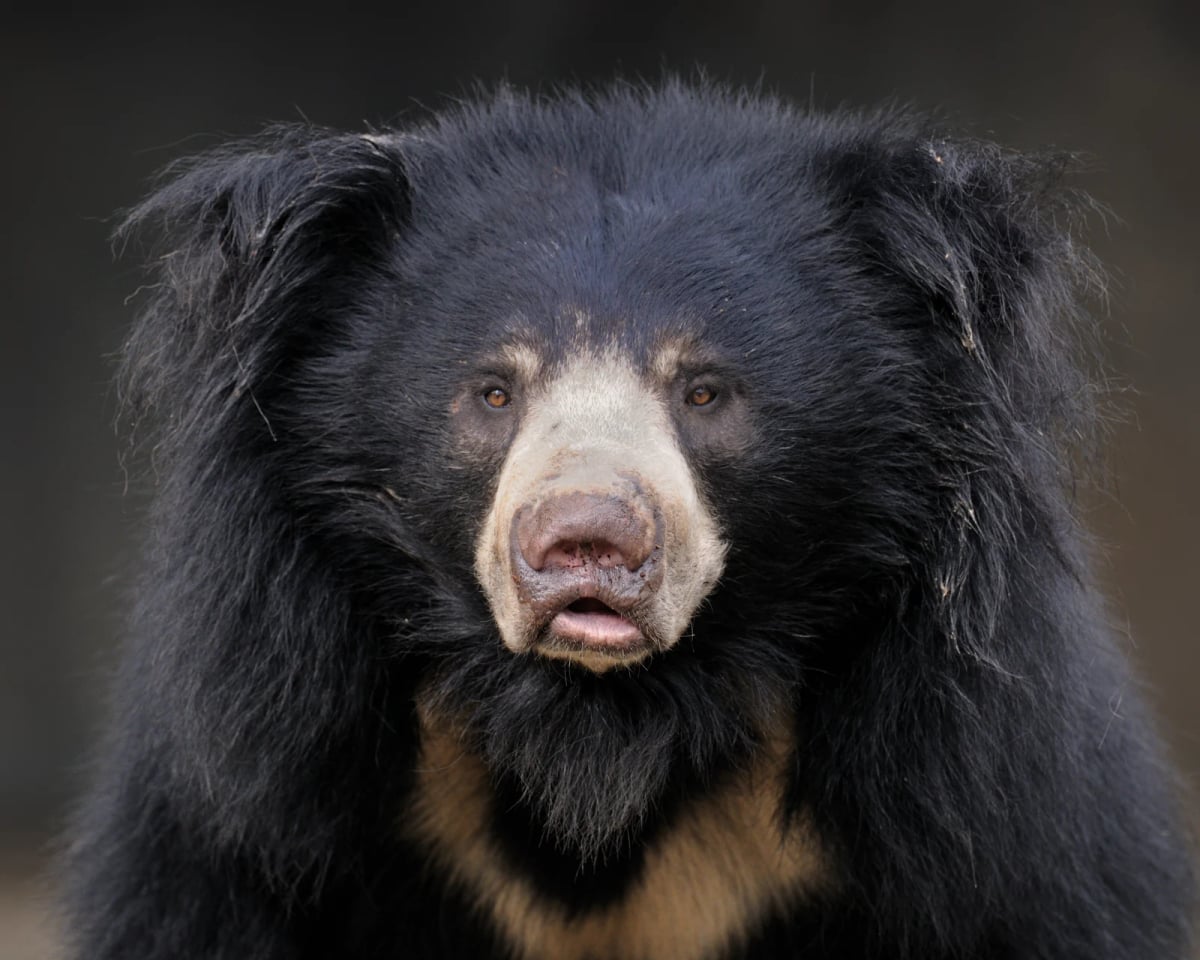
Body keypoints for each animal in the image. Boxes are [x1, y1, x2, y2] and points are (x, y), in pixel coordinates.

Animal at [65, 81, 1193, 959]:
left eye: (704, 391)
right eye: (492, 392)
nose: (585, 541)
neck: (603, 734)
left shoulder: (984, 808)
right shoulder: (257, 810)